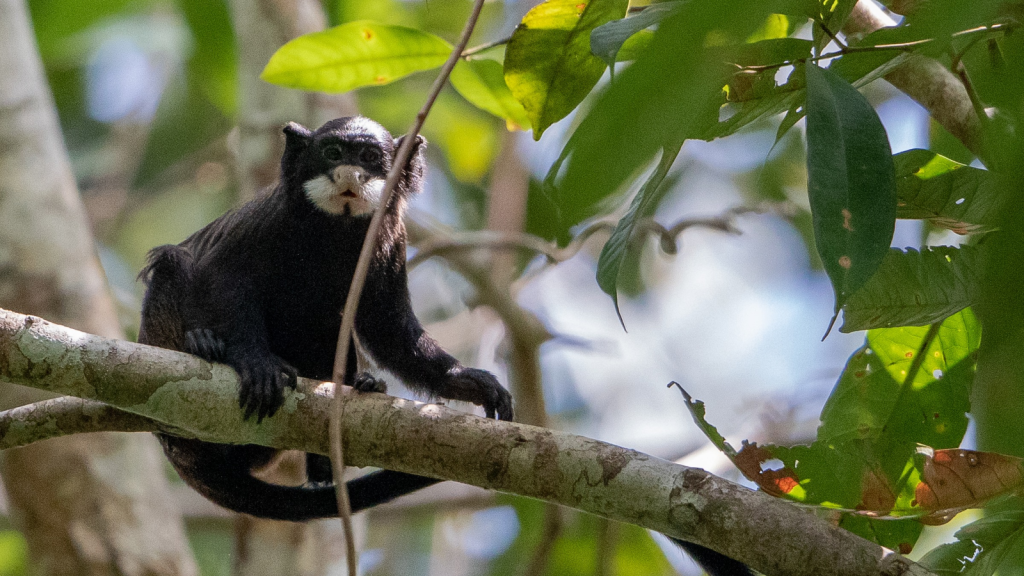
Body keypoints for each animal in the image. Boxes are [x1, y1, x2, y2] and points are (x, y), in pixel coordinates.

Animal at [138, 115, 512, 516]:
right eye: (333, 153)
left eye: (368, 157)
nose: (350, 173)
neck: (335, 229)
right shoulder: (268, 220)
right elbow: (222, 274)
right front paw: (255, 362)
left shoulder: (391, 239)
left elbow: (389, 328)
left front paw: (466, 381)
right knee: (173, 262)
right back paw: (202, 345)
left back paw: (340, 429)